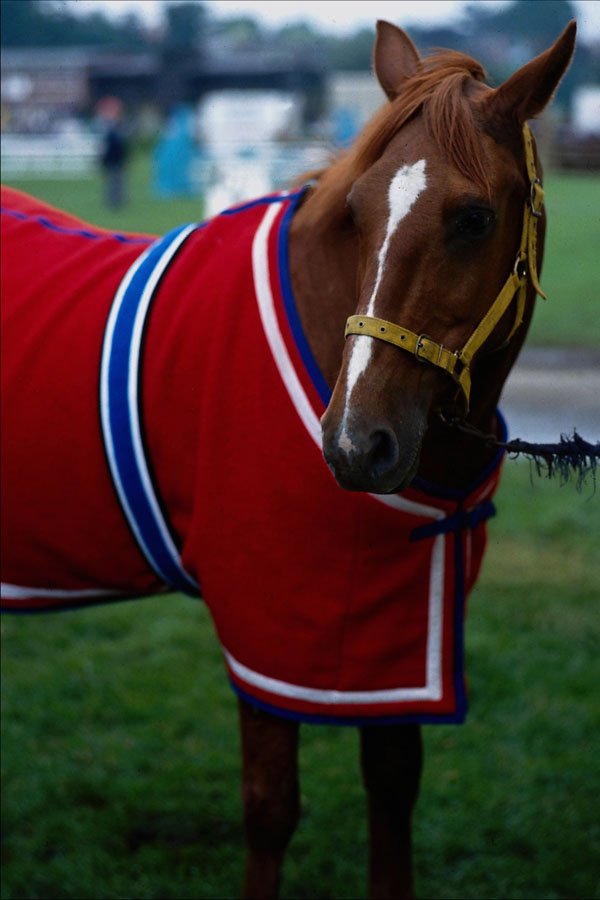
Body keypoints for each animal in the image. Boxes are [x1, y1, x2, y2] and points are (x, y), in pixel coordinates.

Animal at [0, 19, 576, 900]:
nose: (356, 442)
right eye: (359, 211)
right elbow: (271, 808)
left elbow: (393, 791)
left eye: (475, 218)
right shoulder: (270, 627)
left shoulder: (389, 641)